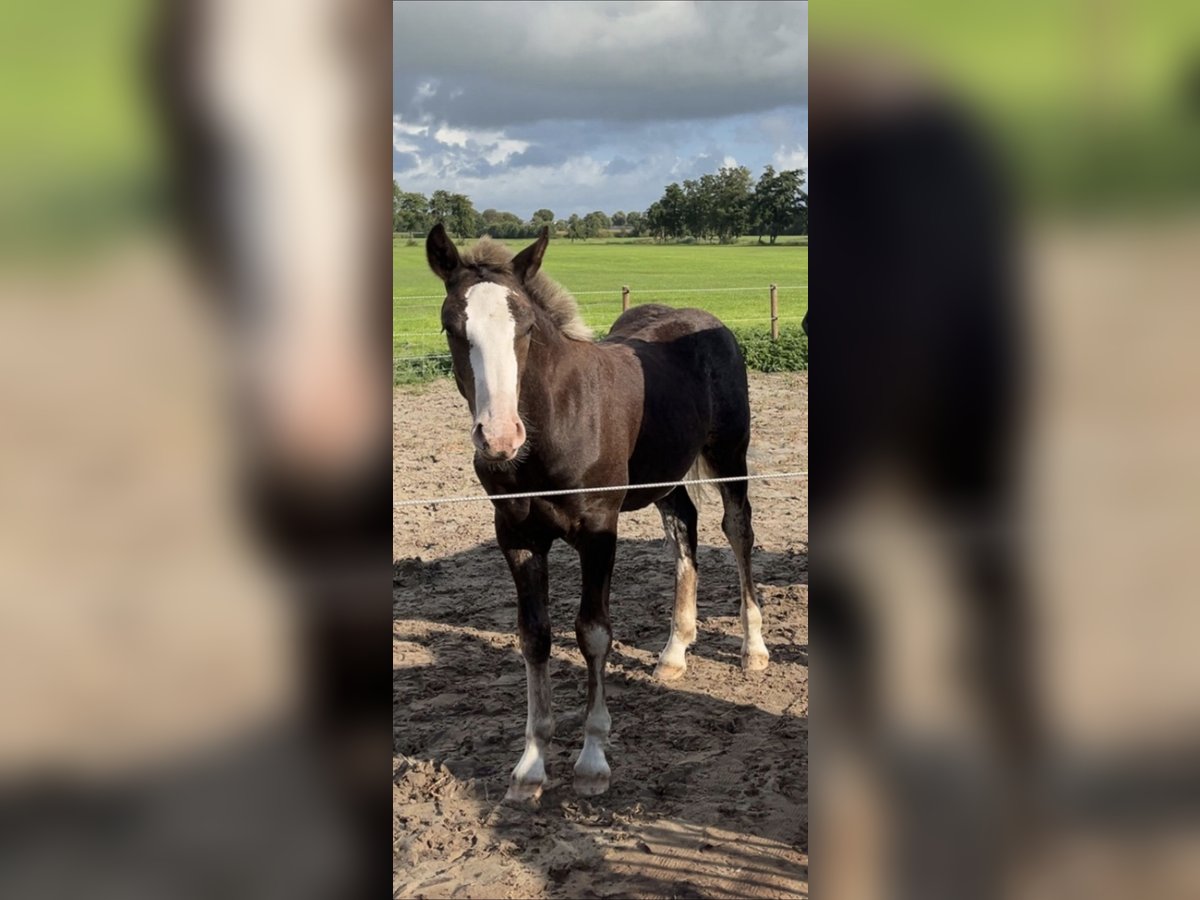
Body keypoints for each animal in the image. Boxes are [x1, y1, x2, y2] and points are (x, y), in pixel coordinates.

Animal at [425, 222, 770, 799]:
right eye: (453, 326)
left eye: (526, 327)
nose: (499, 438)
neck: (554, 424)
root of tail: (706, 321)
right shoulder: (516, 535)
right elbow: (535, 636)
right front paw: (531, 767)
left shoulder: (598, 530)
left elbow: (592, 632)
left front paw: (592, 761)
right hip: (662, 473)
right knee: (684, 528)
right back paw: (674, 653)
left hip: (728, 455)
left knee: (737, 530)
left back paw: (754, 649)